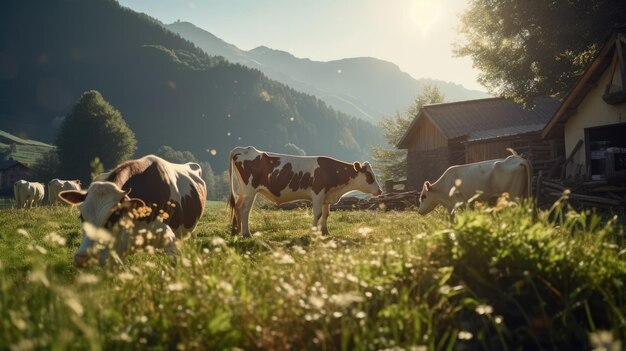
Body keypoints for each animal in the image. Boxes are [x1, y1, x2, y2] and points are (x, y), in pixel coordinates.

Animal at [228, 146, 380, 236]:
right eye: (369, 176)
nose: (380, 190)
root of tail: (245, 149)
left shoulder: (326, 196)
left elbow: (326, 214)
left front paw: (325, 232)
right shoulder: (318, 193)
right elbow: (318, 214)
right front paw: (313, 232)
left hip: (243, 191)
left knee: (237, 206)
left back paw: (236, 231)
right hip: (250, 191)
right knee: (245, 210)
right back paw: (246, 233)